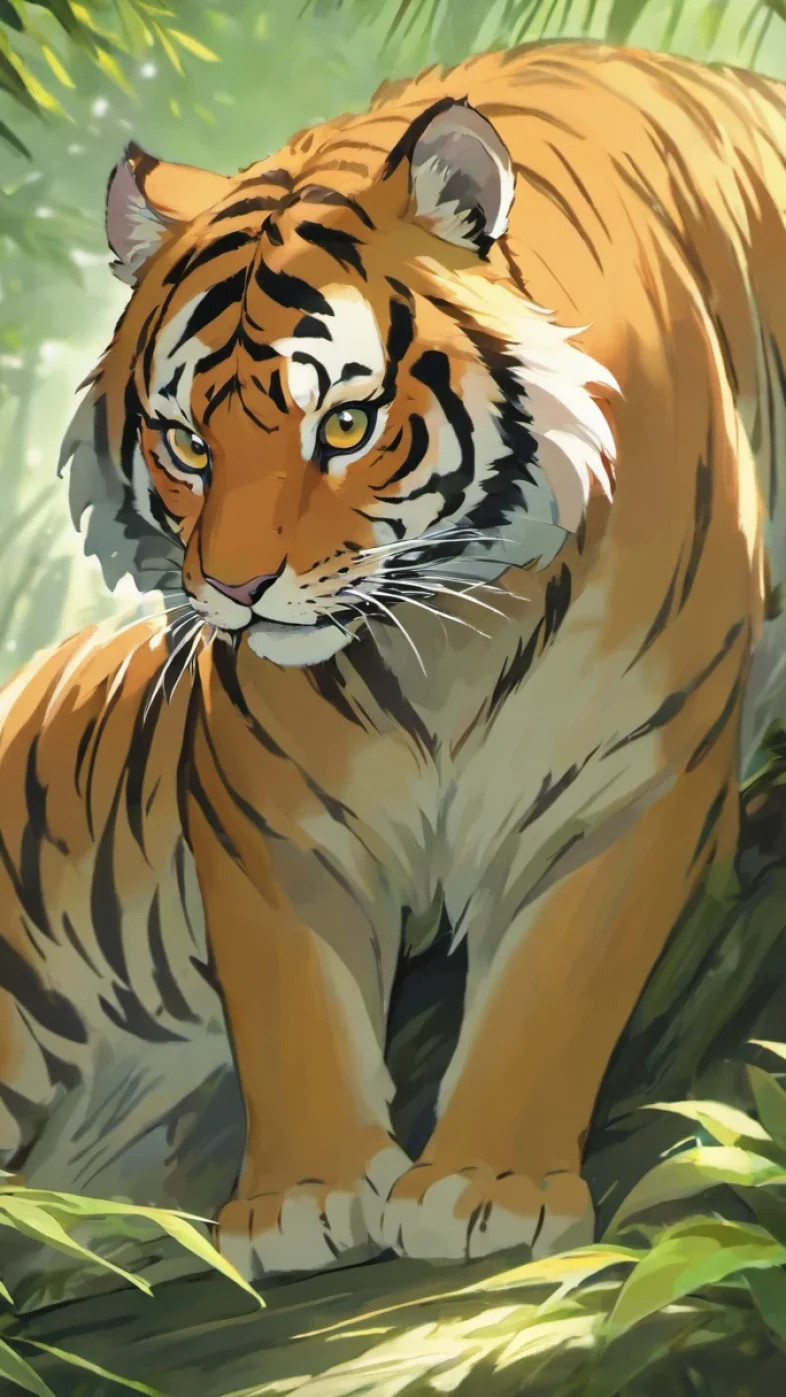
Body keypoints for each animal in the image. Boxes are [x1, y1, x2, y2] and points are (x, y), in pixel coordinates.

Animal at [1, 37, 784, 1285]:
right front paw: (304, 1199)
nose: (234, 591)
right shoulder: (261, 799)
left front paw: (489, 1186)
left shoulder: (629, 774)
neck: (449, 636)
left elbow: (549, 990)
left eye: (345, 426)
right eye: (188, 443)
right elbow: (294, 1001)